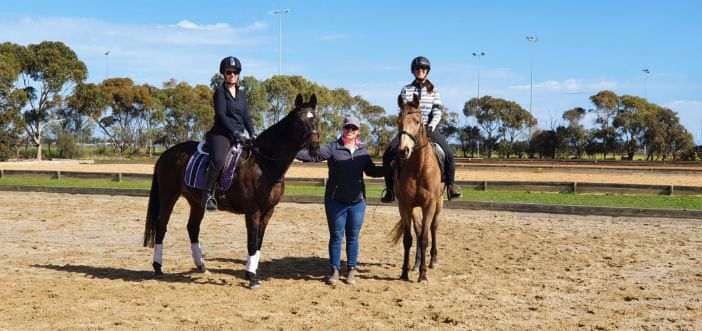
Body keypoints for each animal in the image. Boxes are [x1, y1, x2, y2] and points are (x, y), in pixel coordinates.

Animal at [143, 93, 320, 288]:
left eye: (315, 118)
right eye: (298, 120)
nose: (314, 146)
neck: (263, 164)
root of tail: (166, 154)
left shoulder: (268, 211)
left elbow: (259, 242)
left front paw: (253, 272)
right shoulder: (253, 211)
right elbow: (252, 242)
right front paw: (251, 277)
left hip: (196, 202)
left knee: (193, 228)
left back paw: (201, 266)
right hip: (168, 196)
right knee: (161, 226)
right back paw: (158, 267)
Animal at [390, 92, 446, 282]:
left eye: (417, 121)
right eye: (398, 121)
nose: (403, 151)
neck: (418, 168)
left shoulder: (429, 204)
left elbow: (424, 238)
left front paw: (423, 274)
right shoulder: (405, 205)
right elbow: (409, 238)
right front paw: (405, 272)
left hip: (439, 203)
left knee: (433, 227)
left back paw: (433, 260)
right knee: (419, 228)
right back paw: (415, 263)